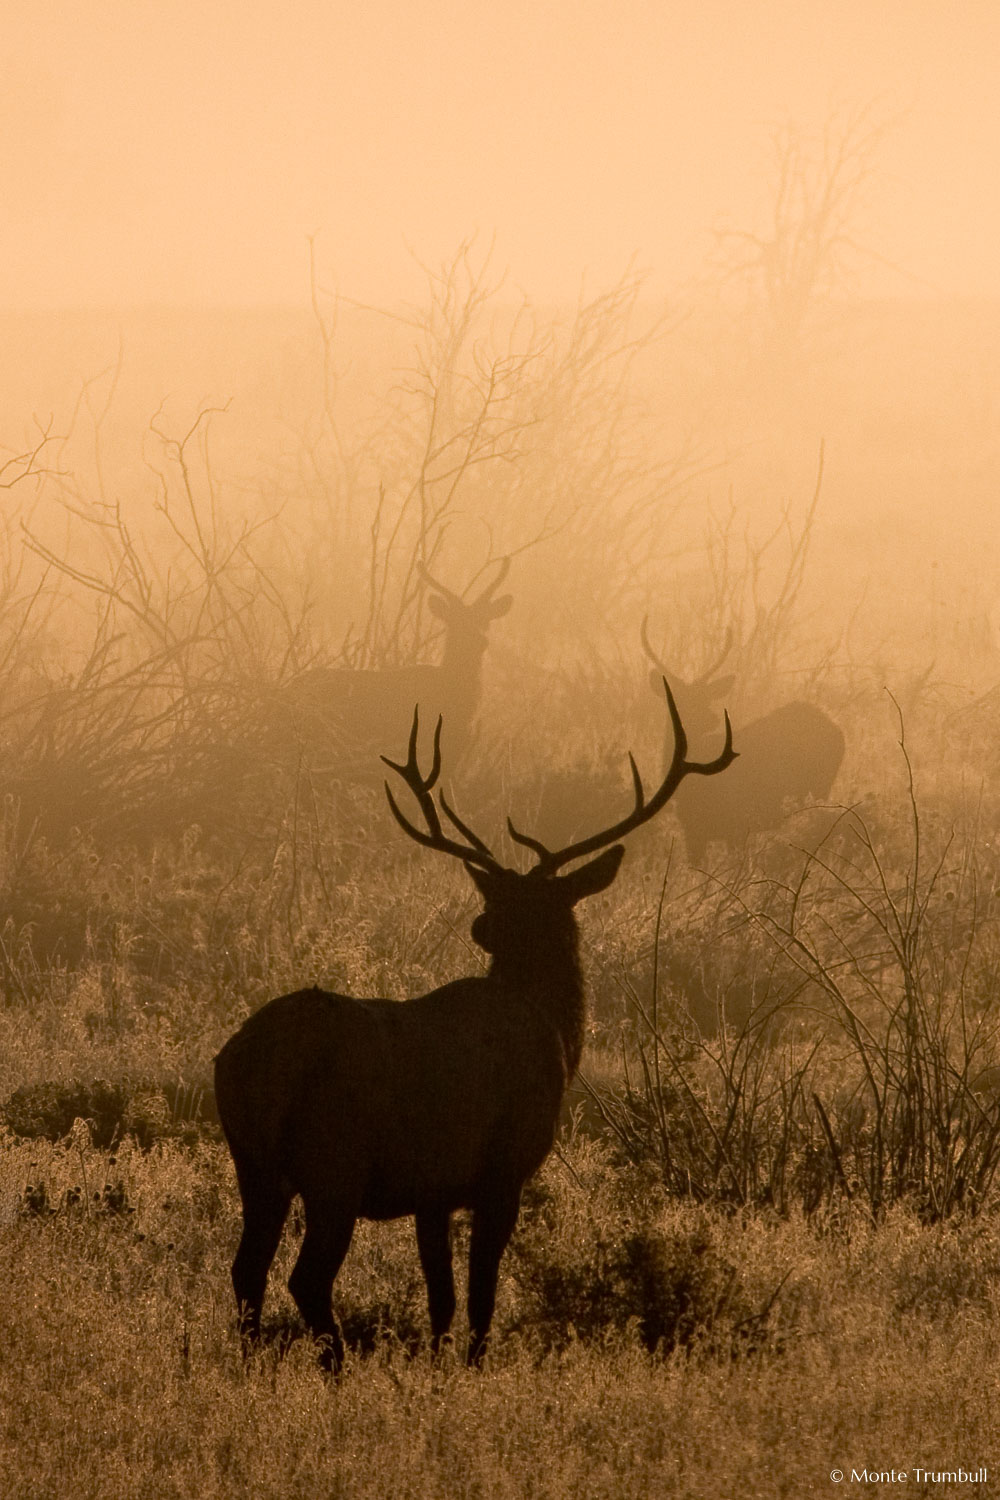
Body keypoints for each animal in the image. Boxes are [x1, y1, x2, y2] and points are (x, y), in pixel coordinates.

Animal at [215, 681, 734, 1374]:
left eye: (508, 900)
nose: (481, 925)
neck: (555, 1033)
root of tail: (245, 1061)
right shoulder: (502, 1169)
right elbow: (483, 1293)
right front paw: (474, 1368)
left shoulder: (432, 1191)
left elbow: (441, 1297)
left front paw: (436, 1368)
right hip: (335, 1163)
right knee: (306, 1278)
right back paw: (336, 1369)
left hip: (254, 1164)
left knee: (247, 1270)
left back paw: (252, 1369)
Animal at [641, 615, 845, 864]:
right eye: (677, 699)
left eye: (705, 697)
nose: (710, 718)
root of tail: (838, 729)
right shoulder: (693, 831)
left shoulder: (736, 823)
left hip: (820, 788)